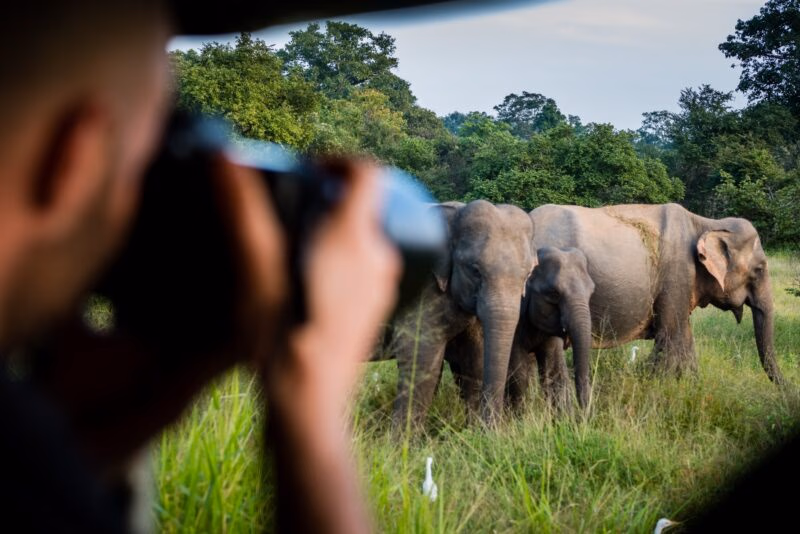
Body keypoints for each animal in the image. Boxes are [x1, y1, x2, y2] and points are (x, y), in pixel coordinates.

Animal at [389, 199, 536, 427]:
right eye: (474, 270)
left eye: (528, 274)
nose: (493, 428)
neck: (454, 212)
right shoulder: (421, 290)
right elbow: (420, 358)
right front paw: (402, 437)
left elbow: (473, 362)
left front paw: (473, 430)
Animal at [508, 246, 595, 412]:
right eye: (554, 293)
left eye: (591, 292)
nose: (584, 414)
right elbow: (518, 373)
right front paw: (520, 416)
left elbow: (553, 370)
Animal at [528, 203, 784, 386]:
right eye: (760, 269)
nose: (785, 390)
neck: (706, 222)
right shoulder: (676, 277)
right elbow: (670, 337)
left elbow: (684, 336)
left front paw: (693, 385)